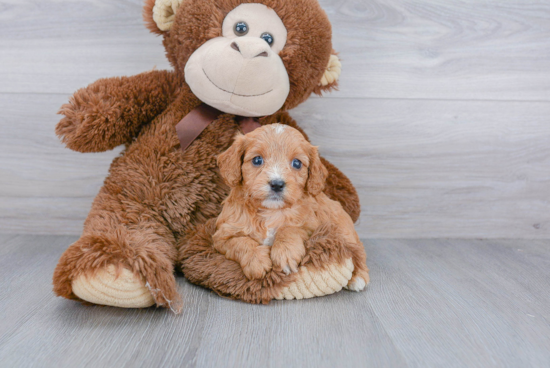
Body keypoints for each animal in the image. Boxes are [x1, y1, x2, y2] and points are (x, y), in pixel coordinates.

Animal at [213, 123, 368, 290]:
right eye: (257, 160)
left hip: (344, 231)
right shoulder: (221, 236)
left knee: (358, 250)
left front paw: (285, 253)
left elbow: (290, 229)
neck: (271, 211)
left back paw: (359, 278)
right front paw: (256, 261)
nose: (277, 184)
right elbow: (240, 242)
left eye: (297, 163)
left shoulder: (313, 227)